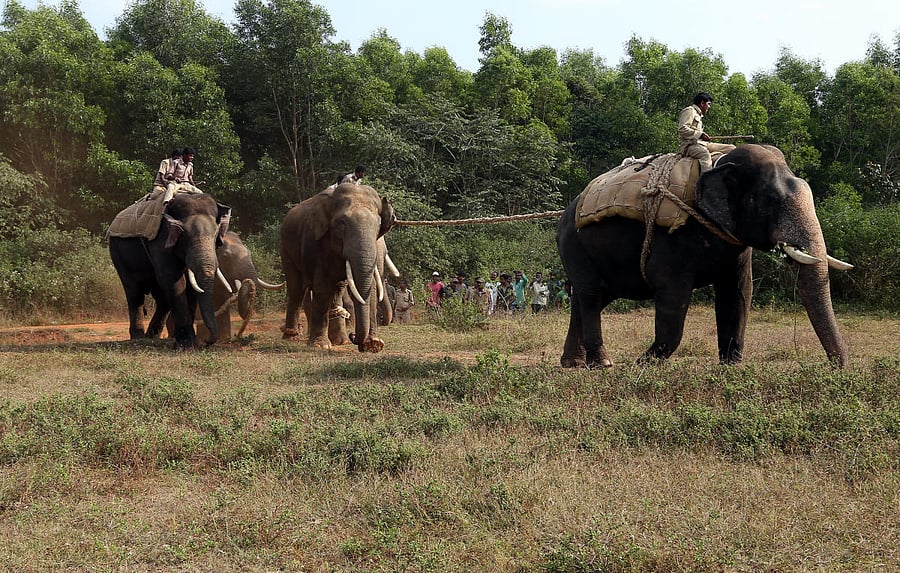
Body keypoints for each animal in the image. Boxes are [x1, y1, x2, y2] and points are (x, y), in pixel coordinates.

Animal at [109, 193, 231, 350]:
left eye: (216, 235)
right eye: (183, 235)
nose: (206, 341)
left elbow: (190, 286)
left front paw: (192, 344)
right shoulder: (161, 241)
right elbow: (175, 282)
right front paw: (186, 346)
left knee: (162, 298)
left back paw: (152, 336)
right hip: (118, 252)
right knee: (134, 292)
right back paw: (138, 337)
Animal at [281, 182, 395, 352]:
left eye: (378, 224)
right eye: (342, 223)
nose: (353, 336)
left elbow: (372, 289)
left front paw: (373, 345)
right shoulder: (317, 243)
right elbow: (322, 287)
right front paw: (320, 346)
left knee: (337, 289)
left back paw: (340, 341)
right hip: (286, 250)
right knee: (296, 289)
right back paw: (291, 337)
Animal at [557, 144, 852, 368]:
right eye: (771, 199)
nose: (837, 367)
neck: (719, 163)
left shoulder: (735, 244)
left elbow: (738, 293)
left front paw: (730, 366)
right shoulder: (672, 240)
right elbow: (672, 295)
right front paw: (644, 363)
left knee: (587, 299)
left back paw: (573, 363)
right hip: (574, 246)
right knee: (591, 295)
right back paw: (602, 364)